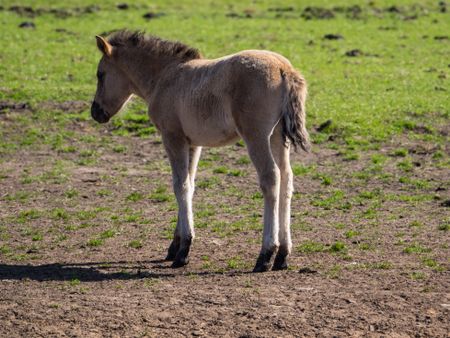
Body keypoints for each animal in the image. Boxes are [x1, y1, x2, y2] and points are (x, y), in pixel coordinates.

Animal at [91, 29, 310, 272]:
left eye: (100, 74)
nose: (95, 112)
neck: (164, 77)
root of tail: (284, 69)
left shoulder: (172, 137)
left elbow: (179, 185)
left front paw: (183, 250)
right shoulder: (193, 143)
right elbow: (190, 183)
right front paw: (174, 246)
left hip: (256, 136)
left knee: (271, 178)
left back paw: (265, 254)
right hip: (278, 137)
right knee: (287, 179)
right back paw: (282, 255)